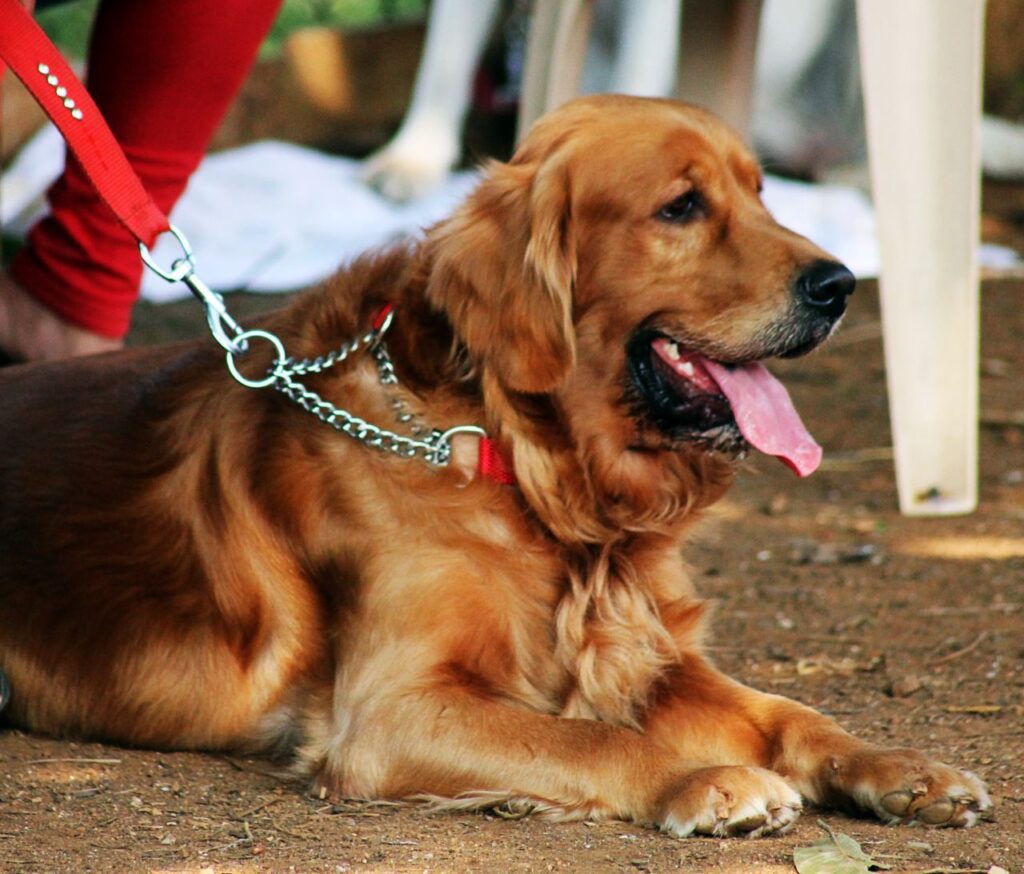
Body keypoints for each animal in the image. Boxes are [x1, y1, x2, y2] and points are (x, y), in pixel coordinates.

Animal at [0, 95, 991, 835]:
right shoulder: (393, 708)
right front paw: (708, 778)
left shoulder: (655, 653)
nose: (840, 286)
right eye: (681, 207)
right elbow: (585, 741)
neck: (518, 458)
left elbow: (789, 713)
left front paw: (897, 765)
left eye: (760, 193)